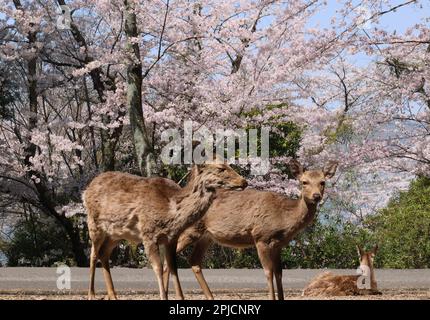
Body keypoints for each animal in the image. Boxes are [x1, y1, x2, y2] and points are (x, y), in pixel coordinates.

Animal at [82, 162, 247, 300]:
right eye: (221, 168)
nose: (243, 181)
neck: (171, 210)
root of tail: (86, 190)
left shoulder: (171, 238)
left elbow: (173, 267)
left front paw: (180, 298)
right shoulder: (148, 233)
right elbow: (158, 268)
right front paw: (163, 296)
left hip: (116, 234)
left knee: (103, 253)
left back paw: (113, 295)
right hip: (94, 223)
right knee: (93, 254)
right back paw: (91, 294)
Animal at [163, 160, 338, 300]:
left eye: (323, 182)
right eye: (304, 182)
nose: (316, 196)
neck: (284, 218)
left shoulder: (278, 245)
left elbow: (279, 273)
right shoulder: (261, 237)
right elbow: (268, 272)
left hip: (207, 236)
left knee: (194, 261)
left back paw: (210, 297)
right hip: (190, 230)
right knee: (168, 260)